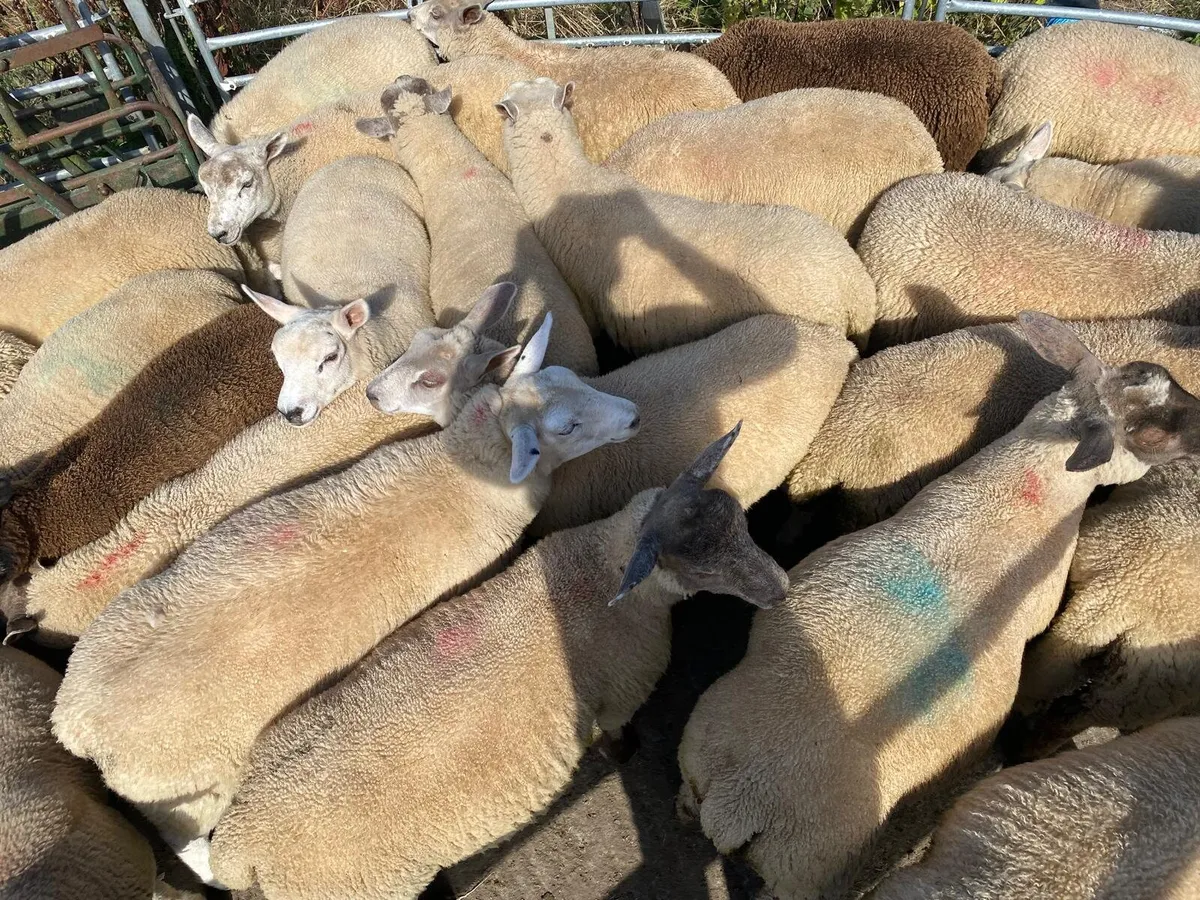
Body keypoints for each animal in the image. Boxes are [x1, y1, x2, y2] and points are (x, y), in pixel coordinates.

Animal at [52, 317, 639, 881]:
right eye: (565, 427)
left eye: (570, 378)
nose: (633, 417)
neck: (466, 469)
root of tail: (73, 720)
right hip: (185, 791)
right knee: (186, 840)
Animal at [208, 426, 786, 899]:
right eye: (695, 566)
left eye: (740, 521)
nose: (780, 588)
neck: (602, 569)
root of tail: (241, 839)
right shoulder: (623, 690)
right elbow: (618, 733)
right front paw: (623, 754)